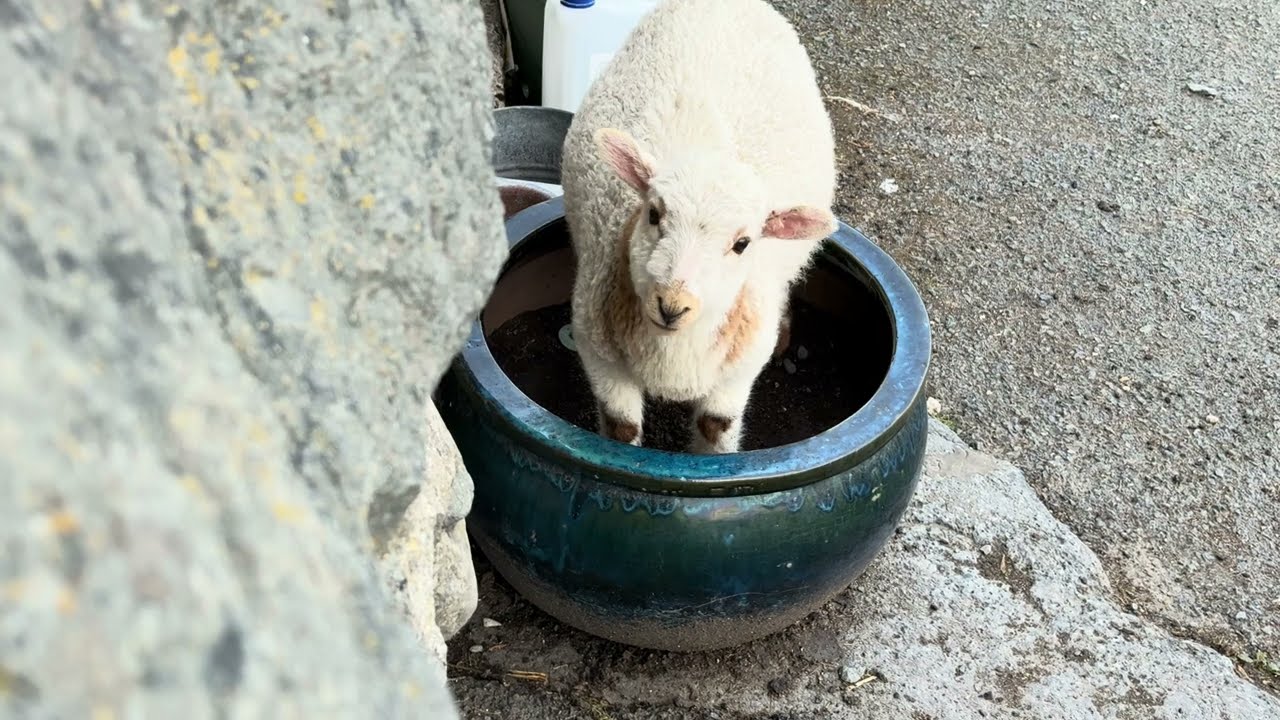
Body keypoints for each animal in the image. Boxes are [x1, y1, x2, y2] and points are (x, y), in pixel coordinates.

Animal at [560, 0, 837, 454]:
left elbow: (715, 428)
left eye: (743, 243)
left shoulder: (735, 376)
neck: (672, 359)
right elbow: (621, 430)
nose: (672, 305)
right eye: (654, 214)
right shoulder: (600, 356)